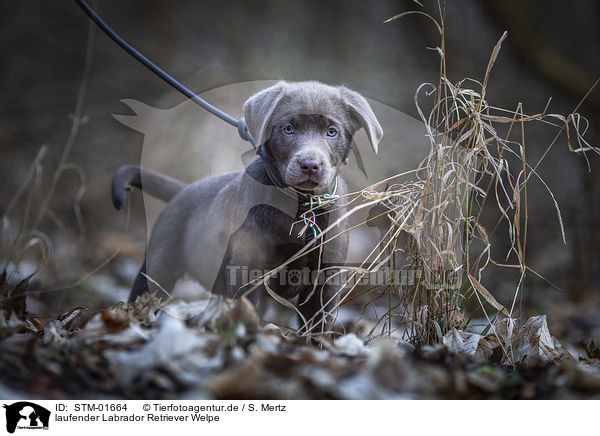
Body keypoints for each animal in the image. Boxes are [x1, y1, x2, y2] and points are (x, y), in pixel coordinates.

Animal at [111, 80, 384, 328]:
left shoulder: (325, 277)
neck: (301, 206)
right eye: (288, 129)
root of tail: (183, 189)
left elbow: (316, 327)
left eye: (331, 131)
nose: (310, 165)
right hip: (159, 263)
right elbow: (246, 313)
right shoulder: (247, 267)